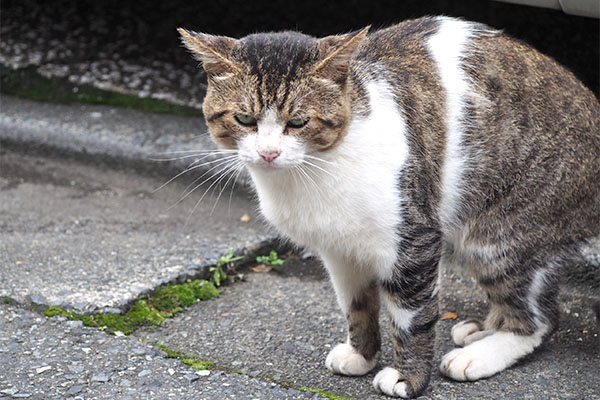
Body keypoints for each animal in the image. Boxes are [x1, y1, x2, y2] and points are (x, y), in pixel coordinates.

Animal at [178, 15, 600, 396]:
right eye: (244, 118)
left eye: (297, 121)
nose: (268, 153)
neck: (314, 171)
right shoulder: (339, 251)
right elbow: (355, 305)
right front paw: (361, 355)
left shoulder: (413, 243)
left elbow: (411, 317)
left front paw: (408, 378)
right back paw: (482, 329)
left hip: (500, 234)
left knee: (540, 318)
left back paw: (481, 354)